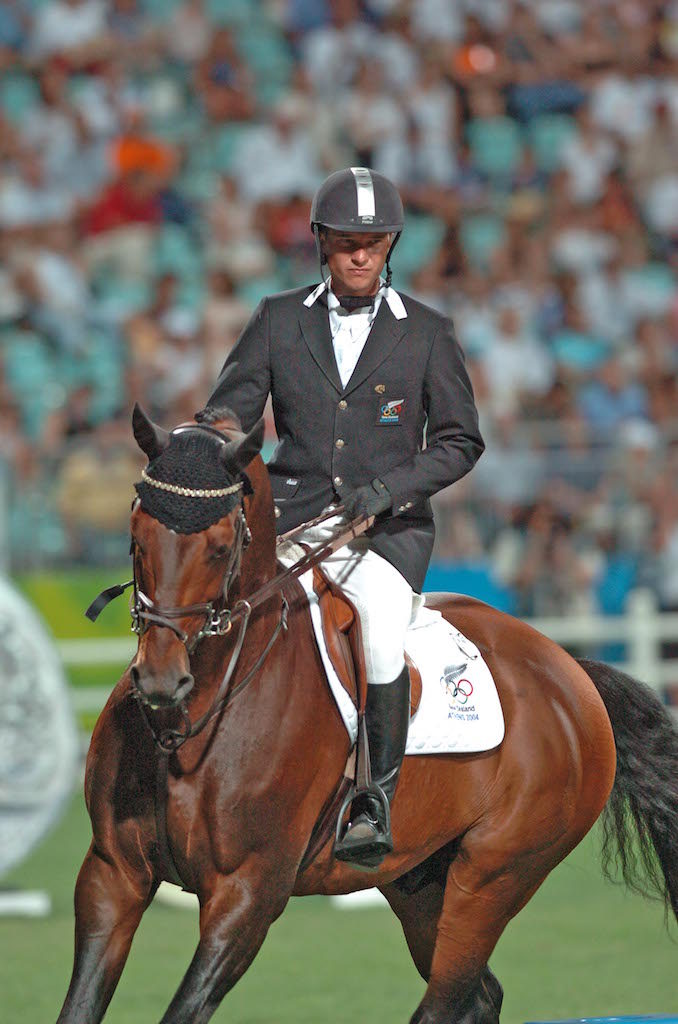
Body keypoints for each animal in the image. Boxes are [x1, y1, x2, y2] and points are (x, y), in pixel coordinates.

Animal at [58, 407, 678, 1024]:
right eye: (137, 535)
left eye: (220, 546)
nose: (161, 681)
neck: (196, 718)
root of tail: (569, 670)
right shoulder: (111, 873)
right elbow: (81, 1004)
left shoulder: (247, 894)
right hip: (418, 880)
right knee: (479, 995)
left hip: (493, 879)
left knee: (450, 992)